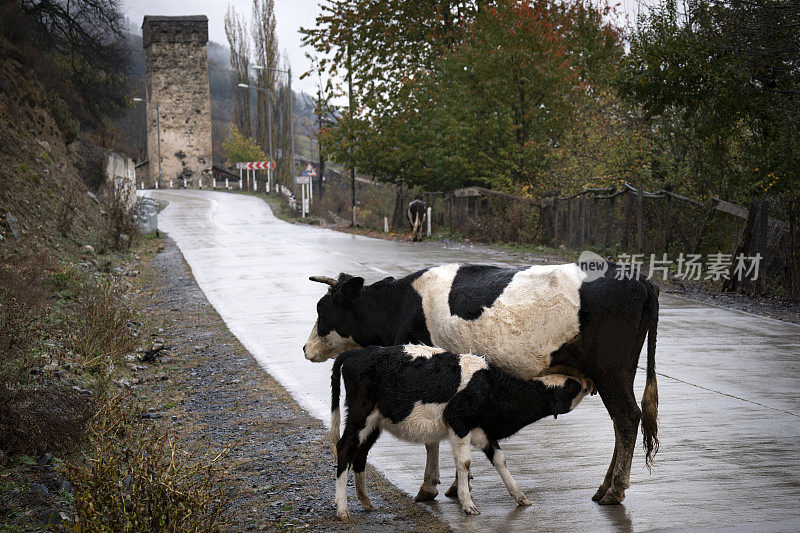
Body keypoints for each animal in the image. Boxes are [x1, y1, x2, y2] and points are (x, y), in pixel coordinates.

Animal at [328, 340, 592, 520]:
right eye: (570, 386)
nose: (586, 382)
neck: (490, 387)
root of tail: (355, 353)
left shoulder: (483, 431)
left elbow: (500, 460)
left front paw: (520, 496)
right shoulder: (459, 423)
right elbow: (464, 463)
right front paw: (468, 504)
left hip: (375, 423)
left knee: (360, 454)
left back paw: (366, 501)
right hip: (360, 416)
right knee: (345, 448)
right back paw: (342, 509)